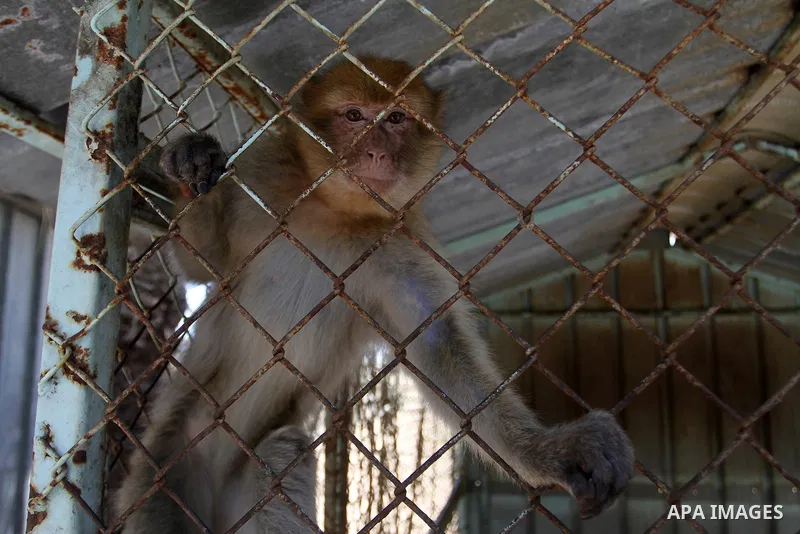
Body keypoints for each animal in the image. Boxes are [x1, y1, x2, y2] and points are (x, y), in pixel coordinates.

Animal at [114, 56, 635, 533]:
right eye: (354, 116)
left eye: (396, 119)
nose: (378, 155)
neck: (332, 212)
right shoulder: (260, 181)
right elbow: (206, 266)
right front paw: (191, 169)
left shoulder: (399, 245)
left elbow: (437, 347)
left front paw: (547, 452)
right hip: (166, 467)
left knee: (282, 454)